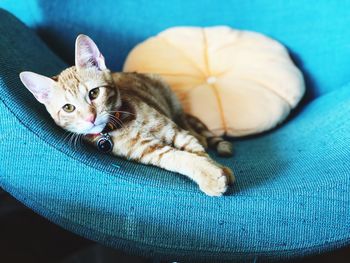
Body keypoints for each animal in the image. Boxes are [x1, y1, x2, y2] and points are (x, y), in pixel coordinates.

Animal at [18, 34, 232, 196]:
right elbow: (179, 158)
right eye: (68, 108)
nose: (90, 118)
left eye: (94, 93)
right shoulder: (150, 151)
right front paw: (210, 174)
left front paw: (218, 170)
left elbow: (197, 150)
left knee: (187, 123)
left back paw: (199, 135)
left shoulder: (174, 131)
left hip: (171, 98)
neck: (122, 124)